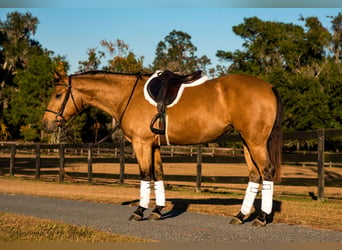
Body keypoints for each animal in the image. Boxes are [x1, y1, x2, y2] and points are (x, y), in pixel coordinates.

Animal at [42, 70, 284, 227]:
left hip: (255, 142)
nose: (46, 124)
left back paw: (261, 218)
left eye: (58, 95)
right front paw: (157, 211)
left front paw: (139, 212)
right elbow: (158, 175)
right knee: (254, 175)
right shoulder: (154, 146)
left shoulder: (141, 144)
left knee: (266, 172)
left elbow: (145, 176)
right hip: (246, 142)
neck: (128, 96)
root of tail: (269, 86)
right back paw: (240, 216)